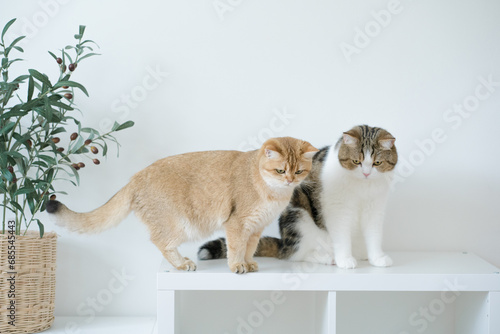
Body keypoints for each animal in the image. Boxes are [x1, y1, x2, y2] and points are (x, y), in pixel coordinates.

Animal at [48, 137, 318, 272]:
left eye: (299, 171)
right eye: (280, 170)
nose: (290, 180)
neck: (273, 193)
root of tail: (135, 178)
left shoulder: (256, 227)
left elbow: (250, 248)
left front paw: (249, 263)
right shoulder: (237, 224)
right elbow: (235, 247)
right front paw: (236, 265)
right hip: (180, 224)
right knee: (160, 241)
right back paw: (182, 264)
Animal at [199, 125, 398, 268]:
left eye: (377, 163)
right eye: (356, 161)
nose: (366, 173)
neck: (362, 187)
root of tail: (283, 244)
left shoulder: (375, 208)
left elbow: (374, 234)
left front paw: (377, 258)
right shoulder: (338, 208)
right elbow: (341, 235)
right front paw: (345, 260)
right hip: (298, 217)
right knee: (298, 255)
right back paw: (327, 258)